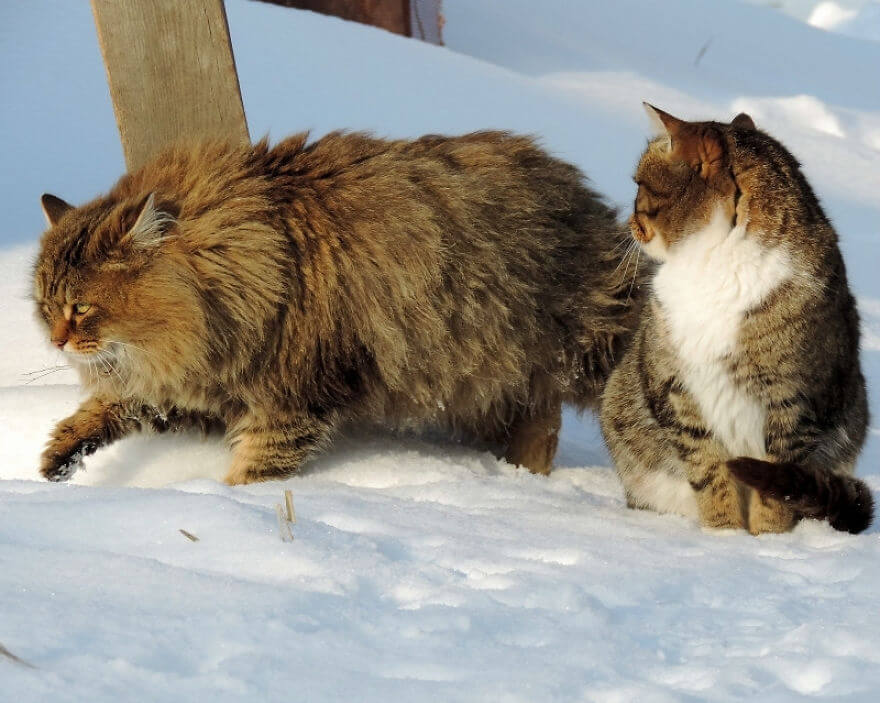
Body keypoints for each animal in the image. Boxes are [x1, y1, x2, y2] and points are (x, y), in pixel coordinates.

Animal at [34, 131, 644, 484]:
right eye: (45, 306)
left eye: (81, 307)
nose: (56, 340)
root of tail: (585, 201)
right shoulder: (194, 384)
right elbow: (107, 409)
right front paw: (57, 458)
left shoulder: (290, 398)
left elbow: (253, 469)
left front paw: (229, 504)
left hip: (588, 345)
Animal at [600, 103, 872, 532]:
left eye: (640, 184)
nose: (629, 223)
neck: (714, 265)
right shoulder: (678, 388)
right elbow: (711, 474)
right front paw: (723, 535)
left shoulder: (794, 402)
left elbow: (779, 487)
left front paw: (768, 540)